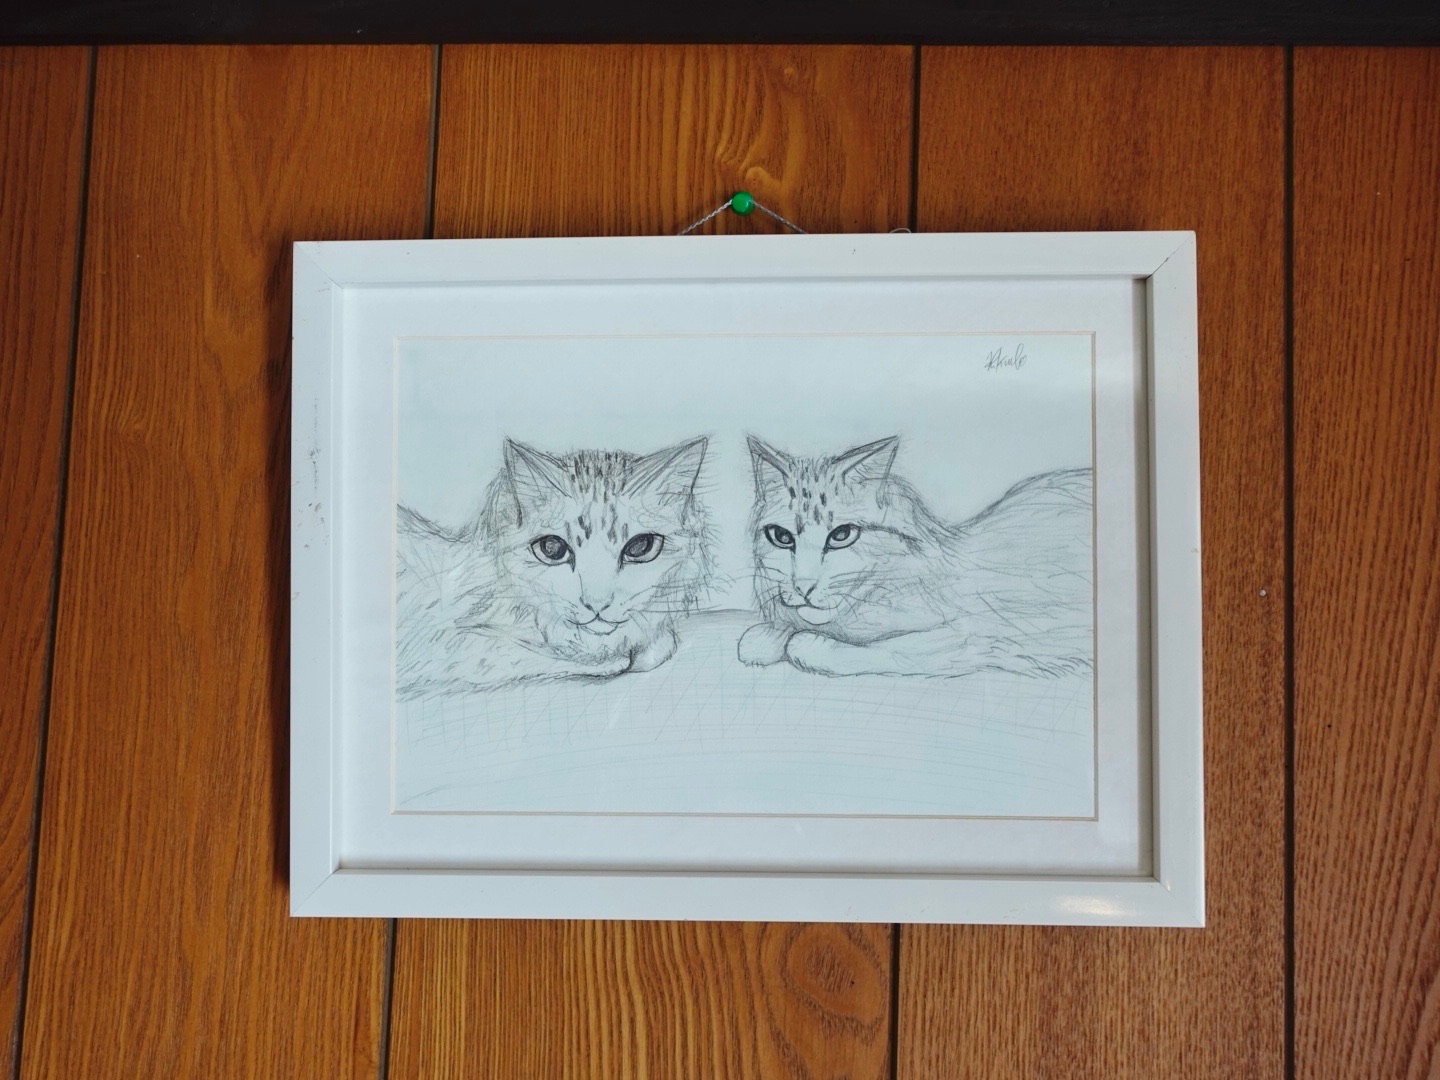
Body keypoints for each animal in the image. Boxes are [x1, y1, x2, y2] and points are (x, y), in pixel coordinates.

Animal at [737, 435, 1092, 678]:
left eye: (841, 535)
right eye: (781, 537)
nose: (804, 586)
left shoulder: (977, 634)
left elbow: (813, 646)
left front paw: (801, 641)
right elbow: (755, 639)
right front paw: (772, 635)